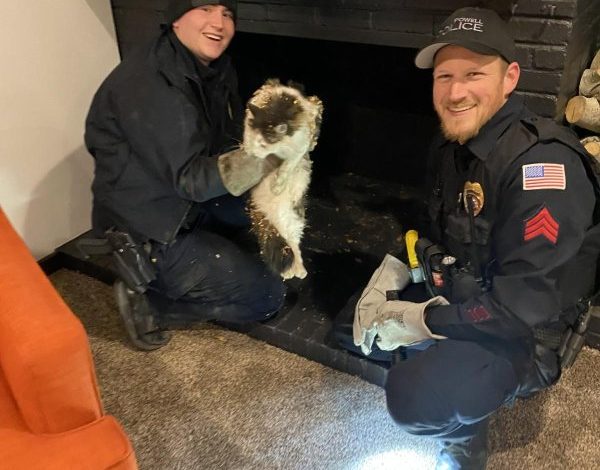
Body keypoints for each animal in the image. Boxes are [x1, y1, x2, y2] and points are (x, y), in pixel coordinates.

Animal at [241, 79, 324, 280]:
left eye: (264, 144)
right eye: (257, 141)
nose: (253, 154)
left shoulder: (300, 142)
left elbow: (291, 162)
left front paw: (279, 183)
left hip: (294, 220)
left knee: (293, 243)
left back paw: (298, 270)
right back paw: (291, 270)